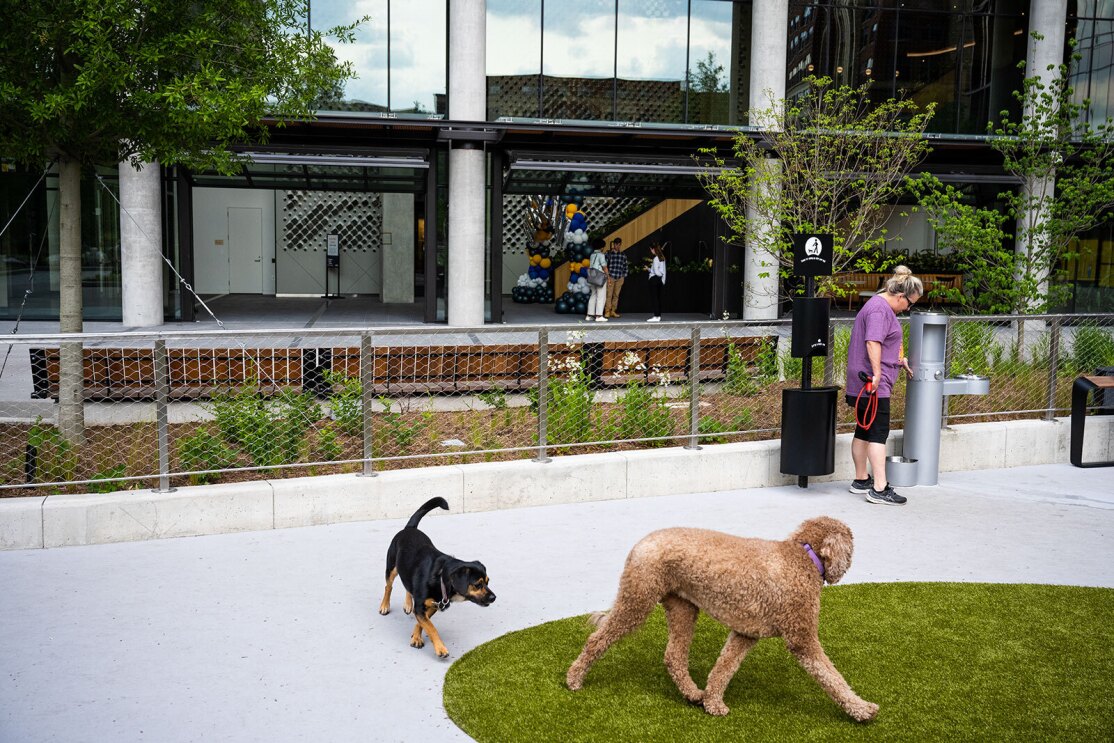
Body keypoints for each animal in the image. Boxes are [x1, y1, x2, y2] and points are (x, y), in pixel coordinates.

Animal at [376, 499, 494, 654]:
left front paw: (416, 637)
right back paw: (385, 606)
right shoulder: (421, 607)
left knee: (408, 586)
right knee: (388, 586)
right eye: (477, 584)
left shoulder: (434, 605)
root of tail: (410, 528)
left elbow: (424, 623)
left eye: (487, 582)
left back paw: (408, 604)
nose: (494, 597)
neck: (441, 578)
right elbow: (431, 627)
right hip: (391, 568)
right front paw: (440, 648)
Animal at [565, 516, 877, 721]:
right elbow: (831, 676)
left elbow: (723, 668)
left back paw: (693, 693)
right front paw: (861, 709)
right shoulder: (802, 637)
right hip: (638, 600)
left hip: (683, 607)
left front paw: (712, 702)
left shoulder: (745, 633)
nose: (850, 562)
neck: (803, 556)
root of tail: (639, 543)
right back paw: (574, 679)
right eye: (851, 542)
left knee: (673, 656)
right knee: (598, 639)